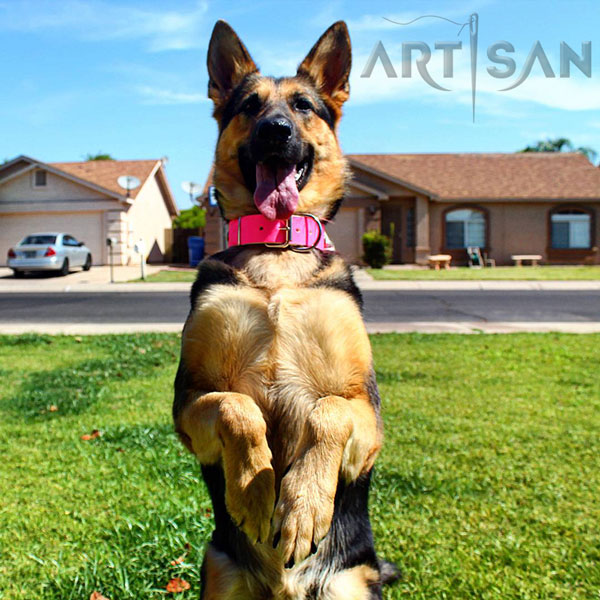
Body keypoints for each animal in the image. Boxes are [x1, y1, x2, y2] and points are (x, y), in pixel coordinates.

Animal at [173, 19, 398, 600]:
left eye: (302, 106)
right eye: (249, 106)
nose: (276, 130)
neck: (276, 251)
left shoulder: (366, 416)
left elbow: (328, 412)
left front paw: (302, 506)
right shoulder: (190, 403)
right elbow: (236, 406)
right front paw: (254, 491)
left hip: (348, 585)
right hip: (219, 572)